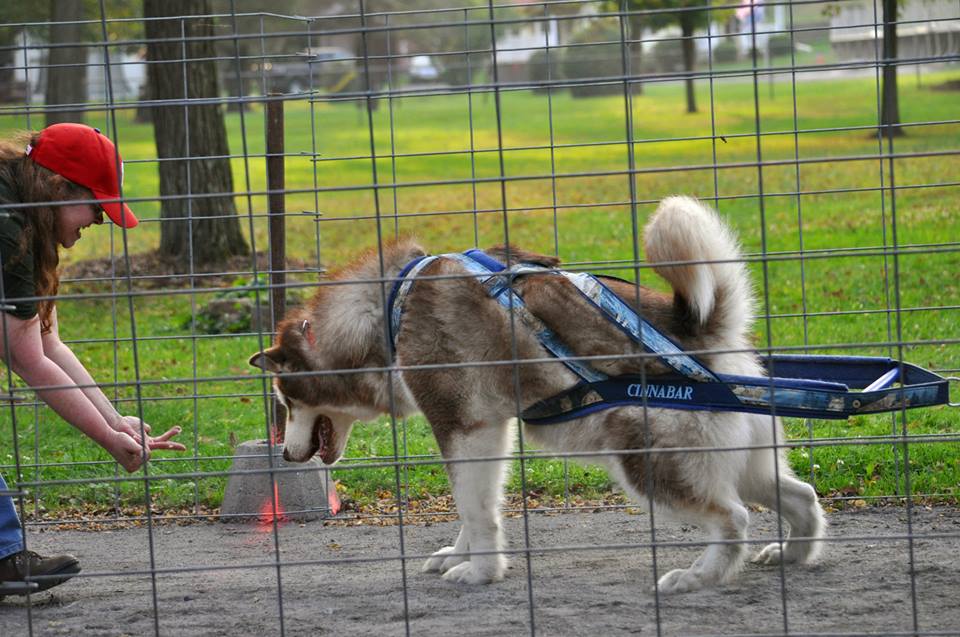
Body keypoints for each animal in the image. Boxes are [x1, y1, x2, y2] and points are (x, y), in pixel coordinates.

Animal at [249, 198, 824, 592]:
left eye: (285, 401)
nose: (285, 454)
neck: (391, 306)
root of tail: (707, 334)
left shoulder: (464, 428)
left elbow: (476, 511)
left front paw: (480, 572)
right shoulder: (490, 432)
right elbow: (475, 507)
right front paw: (459, 555)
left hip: (649, 464)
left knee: (733, 519)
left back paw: (699, 576)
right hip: (743, 461)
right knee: (801, 496)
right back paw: (791, 554)